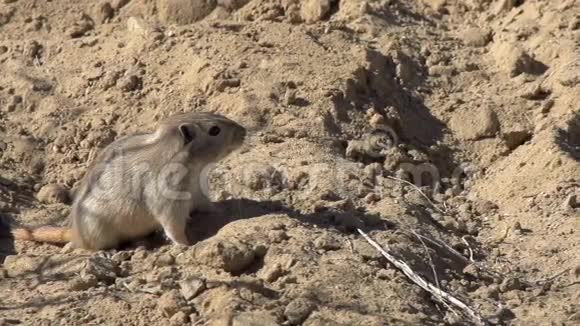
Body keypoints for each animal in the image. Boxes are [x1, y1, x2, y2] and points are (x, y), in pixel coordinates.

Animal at [11, 111, 246, 250]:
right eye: (215, 130)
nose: (244, 131)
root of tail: (74, 232)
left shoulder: (197, 192)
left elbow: (207, 205)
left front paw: (224, 209)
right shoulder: (168, 203)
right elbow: (173, 228)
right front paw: (187, 246)